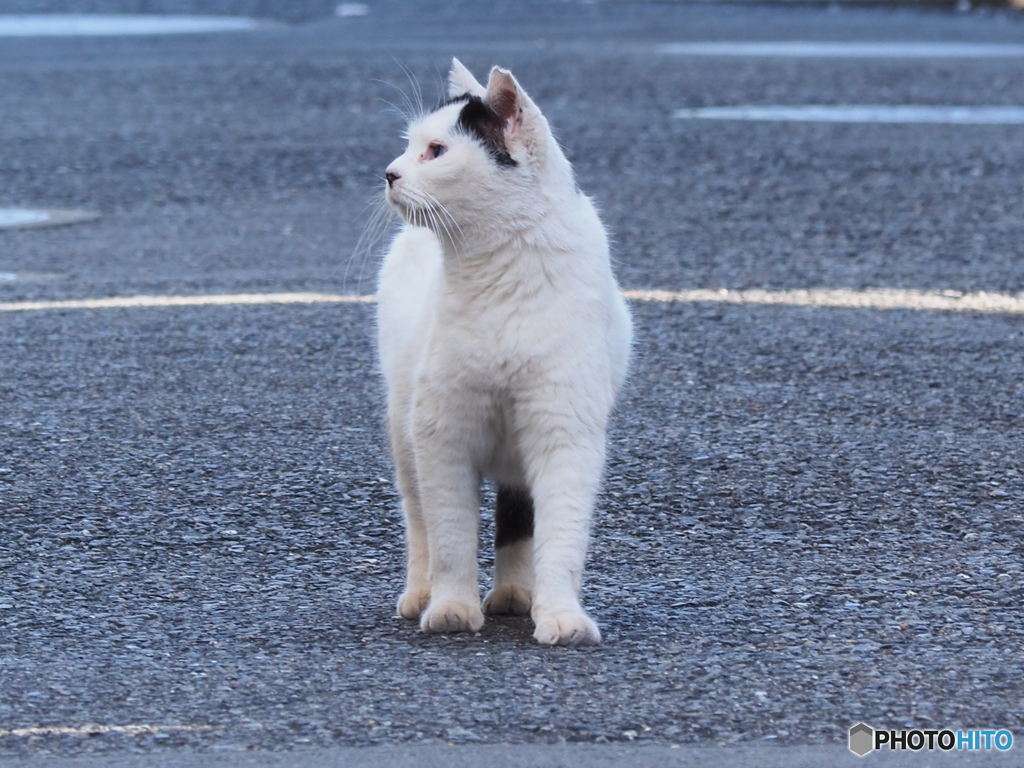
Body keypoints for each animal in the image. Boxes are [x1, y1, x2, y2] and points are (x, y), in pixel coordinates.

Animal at [376, 60, 630, 647]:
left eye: (437, 151)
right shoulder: (442, 431)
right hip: (403, 428)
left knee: (518, 516)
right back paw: (421, 593)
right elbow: (450, 537)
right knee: (419, 520)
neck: (499, 272)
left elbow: (559, 536)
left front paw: (560, 615)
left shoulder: (564, 432)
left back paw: (516, 595)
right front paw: (451, 608)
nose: (389, 173)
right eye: (409, 145)